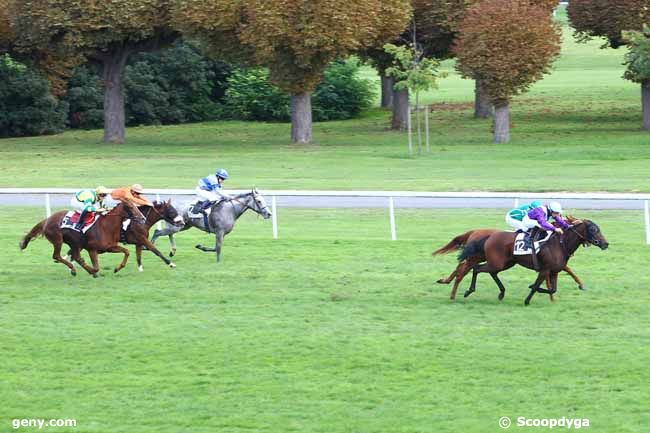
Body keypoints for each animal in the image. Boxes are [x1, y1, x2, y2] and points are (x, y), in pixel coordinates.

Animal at [432, 226, 584, 300]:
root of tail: (475, 232)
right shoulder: (546, 267)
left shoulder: (552, 267)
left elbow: (565, 272)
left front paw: (580, 285)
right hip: (483, 259)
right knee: (466, 270)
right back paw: (456, 292)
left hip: (500, 262)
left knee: (467, 268)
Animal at [458, 219, 604, 304]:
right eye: (593, 229)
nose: (605, 243)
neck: (560, 244)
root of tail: (489, 236)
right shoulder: (545, 270)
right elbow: (536, 287)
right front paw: (527, 299)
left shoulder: (554, 271)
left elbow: (553, 290)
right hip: (498, 263)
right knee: (476, 268)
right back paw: (469, 291)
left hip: (506, 263)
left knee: (490, 272)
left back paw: (501, 293)